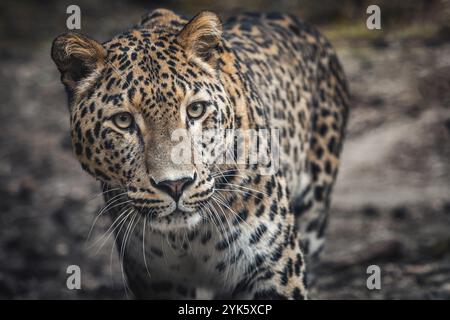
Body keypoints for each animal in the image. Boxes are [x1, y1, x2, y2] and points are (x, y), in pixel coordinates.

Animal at [51, 8, 350, 300]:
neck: (187, 238)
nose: (175, 185)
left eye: (195, 110)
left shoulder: (273, 268)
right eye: (123, 121)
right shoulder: (157, 282)